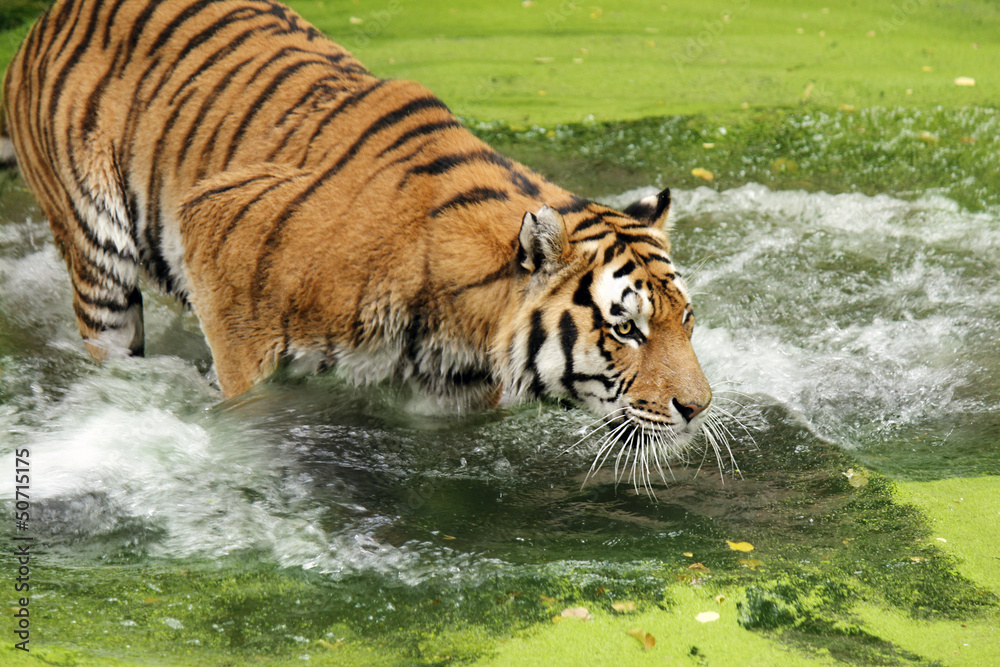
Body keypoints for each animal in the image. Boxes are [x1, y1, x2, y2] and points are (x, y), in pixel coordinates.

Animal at [1, 0, 713, 487]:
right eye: (625, 329)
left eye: (686, 320)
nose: (699, 408)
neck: (462, 332)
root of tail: (52, 16)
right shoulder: (218, 232)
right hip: (98, 262)